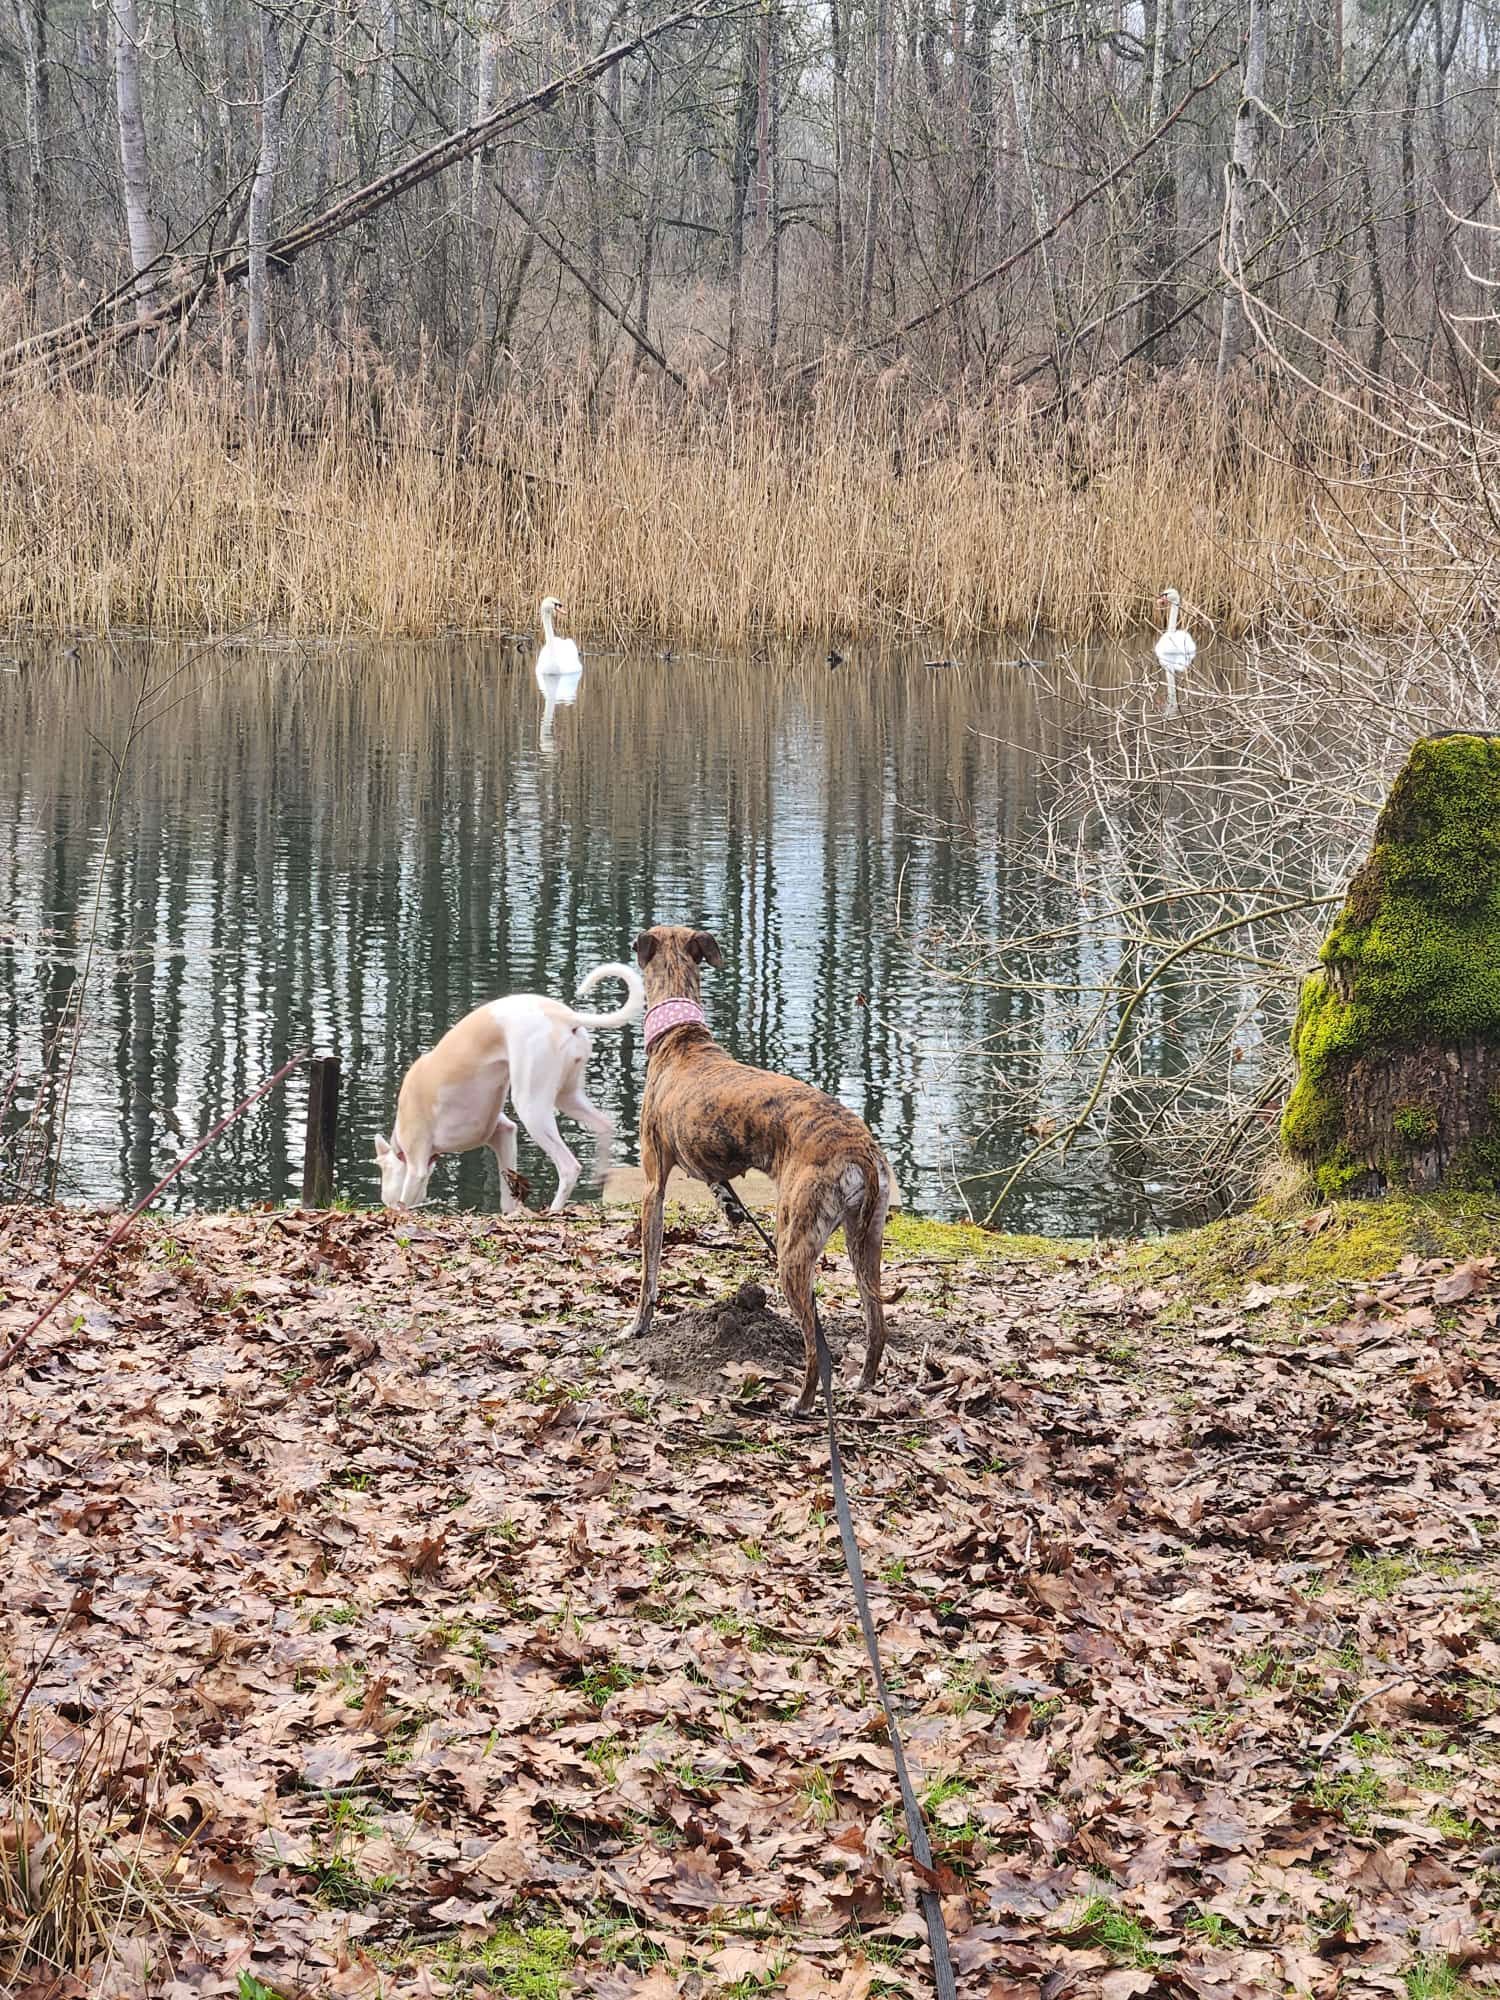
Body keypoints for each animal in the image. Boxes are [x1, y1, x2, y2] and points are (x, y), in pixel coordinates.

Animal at [375, 962, 644, 1211]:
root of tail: (564, 1016)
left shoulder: (417, 1167)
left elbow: (407, 1199)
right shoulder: (504, 1133)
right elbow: (508, 1193)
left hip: (532, 1106)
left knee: (569, 1167)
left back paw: (554, 1211)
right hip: (568, 1096)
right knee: (604, 1124)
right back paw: (601, 1175)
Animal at [628, 924, 892, 1413]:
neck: (681, 1039)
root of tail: (859, 1150)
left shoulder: (654, 1185)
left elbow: (649, 1274)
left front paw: (638, 1325)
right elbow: (720, 1187)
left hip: (794, 1245)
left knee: (814, 1346)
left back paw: (801, 1404)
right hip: (865, 1240)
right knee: (877, 1323)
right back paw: (861, 1385)